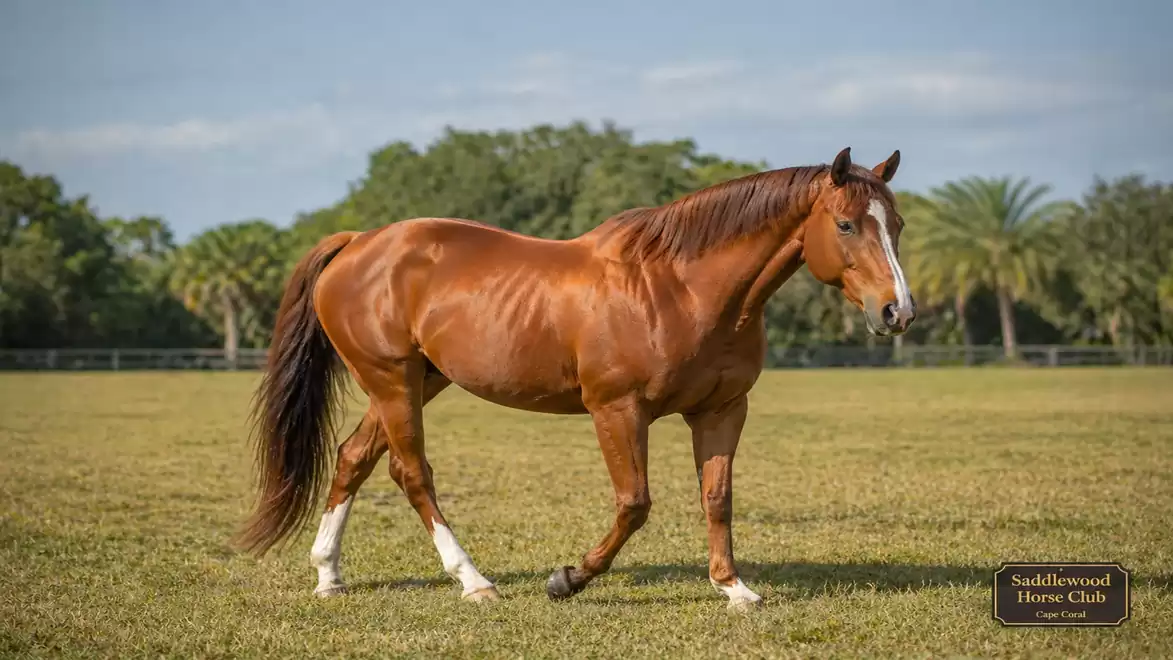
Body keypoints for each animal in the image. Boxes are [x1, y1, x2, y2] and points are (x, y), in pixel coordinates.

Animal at [233, 146, 916, 610]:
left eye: (898, 225)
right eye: (847, 224)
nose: (897, 311)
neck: (680, 287)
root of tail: (358, 244)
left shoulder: (723, 410)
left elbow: (717, 497)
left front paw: (733, 588)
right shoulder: (618, 410)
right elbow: (634, 504)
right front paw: (567, 579)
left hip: (415, 382)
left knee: (353, 457)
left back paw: (329, 575)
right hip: (393, 381)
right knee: (411, 472)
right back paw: (474, 581)